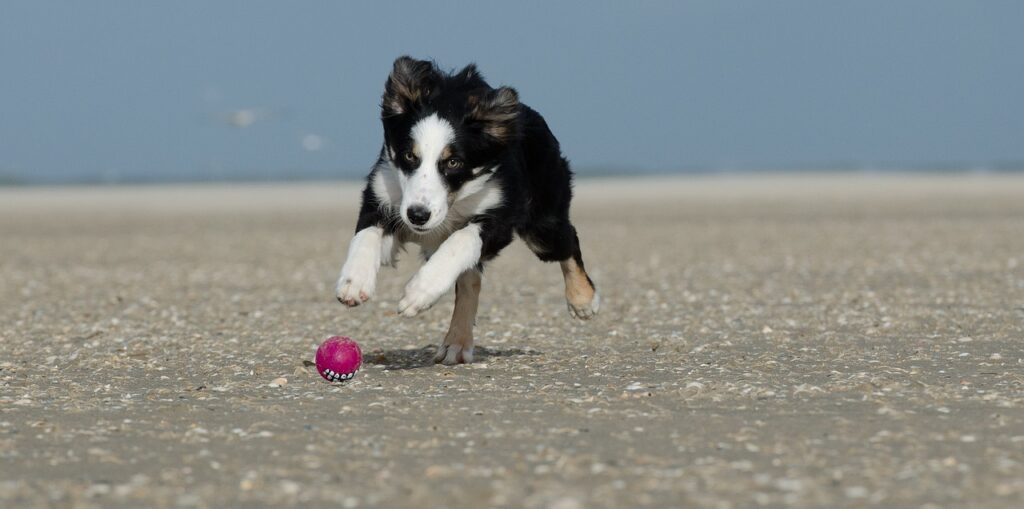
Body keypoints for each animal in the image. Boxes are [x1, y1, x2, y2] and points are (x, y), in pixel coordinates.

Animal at [335, 57, 598, 362]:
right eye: (409, 156)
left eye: (453, 162)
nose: (418, 216)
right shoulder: (383, 196)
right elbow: (366, 234)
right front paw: (354, 282)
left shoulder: (500, 216)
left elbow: (460, 241)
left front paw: (419, 292)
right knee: (470, 280)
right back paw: (457, 343)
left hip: (542, 226)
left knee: (568, 241)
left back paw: (583, 300)